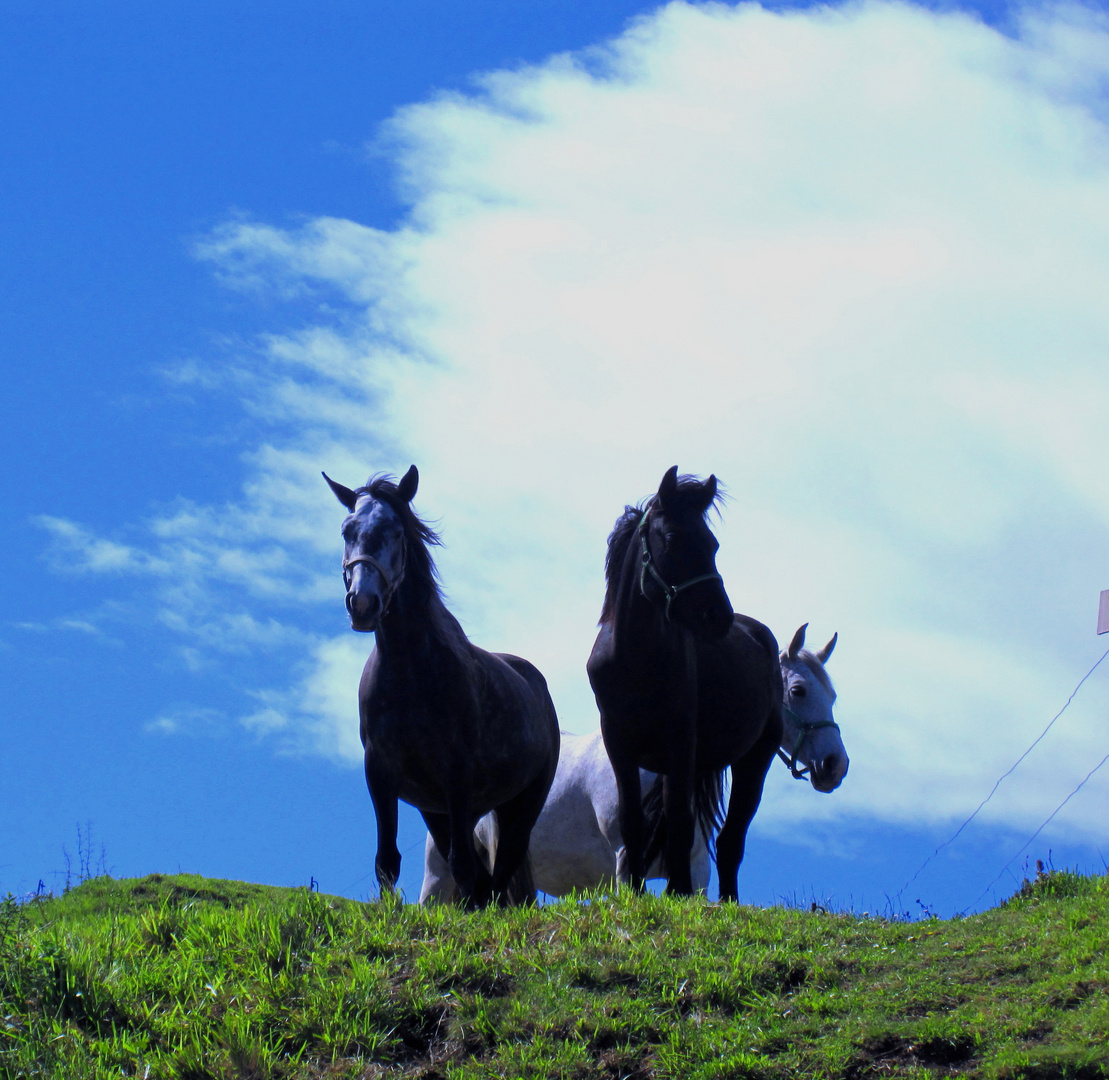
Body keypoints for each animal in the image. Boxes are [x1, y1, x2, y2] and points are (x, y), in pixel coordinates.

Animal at [323, 470, 558, 909]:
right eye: (347, 530)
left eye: (396, 532)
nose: (362, 603)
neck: (410, 672)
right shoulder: (381, 772)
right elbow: (387, 859)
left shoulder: (458, 773)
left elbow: (462, 865)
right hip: (441, 810)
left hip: (521, 802)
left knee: (500, 869)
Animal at [419, 616, 842, 904]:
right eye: (799, 691)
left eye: (832, 695)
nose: (835, 764)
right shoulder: (623, 863)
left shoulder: (697, 874)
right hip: (438, 879)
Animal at [589, 470, 780, 900]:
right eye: (674, 537)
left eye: (713, 543)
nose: (718, 617)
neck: (633, 659)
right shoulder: (619, 743)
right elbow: (632, 821)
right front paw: (637, 892)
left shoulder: (680, 740)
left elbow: (679, 819)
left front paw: (679, 891)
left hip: (754, 760)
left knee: (730, 839)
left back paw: (728, 900)